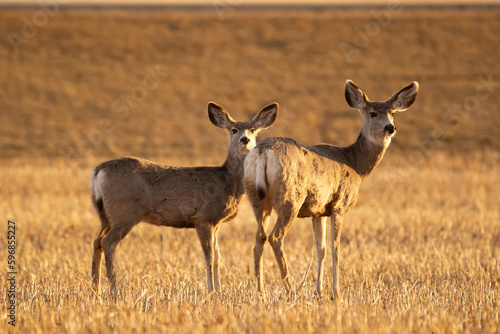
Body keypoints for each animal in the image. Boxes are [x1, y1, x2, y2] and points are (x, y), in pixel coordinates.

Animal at [89, 102, 278, 294]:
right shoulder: (203, 218)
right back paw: (114, 290)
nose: (245, 140)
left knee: (97, 242)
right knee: (108, 243)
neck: (227, 182)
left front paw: (219, 291)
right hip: (125, 211)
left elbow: (218, 258)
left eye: (253, 129)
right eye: (234, 130)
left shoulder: (216, 223)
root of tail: (98, 171)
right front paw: (211, 291)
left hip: (105, 215)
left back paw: (96, 288)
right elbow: (209, 258)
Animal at [243, 80, 418, 298]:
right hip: (291, 198)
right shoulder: (340, 204)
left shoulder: (318, 211)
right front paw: (336, 292)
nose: (390, 127)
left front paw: (319, 291)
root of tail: (262, 152)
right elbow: (336, 248)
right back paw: (291, 288)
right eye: (372, 113)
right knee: (276, 237)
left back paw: (261, 292)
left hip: (256, 198)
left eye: (392, 112)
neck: (355, 164)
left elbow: (321, 249)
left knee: (259, 238)